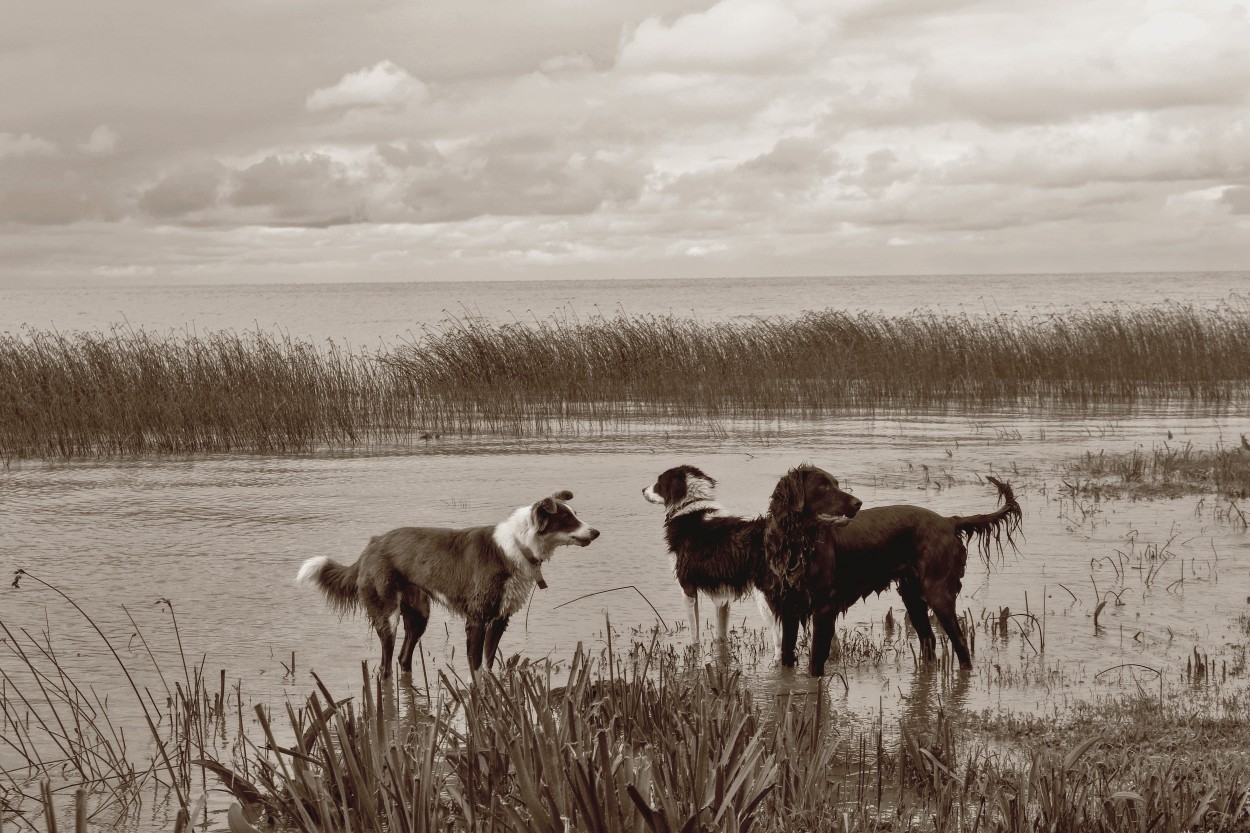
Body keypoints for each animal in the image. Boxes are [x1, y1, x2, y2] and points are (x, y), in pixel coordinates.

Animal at [297, 487, 600, 675]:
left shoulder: (500, 618)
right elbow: (475, 666)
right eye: (566, 518)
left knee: (403, 658)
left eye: (575, 515)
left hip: (418, 614)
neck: (517, 544)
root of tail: (372, 544)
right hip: (387, 613)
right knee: (385, 663)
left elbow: (488, 663)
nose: (596, 532)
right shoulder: (477, 617)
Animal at [640, 462, 865, 645]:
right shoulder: (722, 596)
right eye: (827, 485)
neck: (691, 508)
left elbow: (694, 635)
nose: (642, 489)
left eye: (658, 482)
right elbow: (721, 635)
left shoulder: (687, 587)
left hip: (769, 602)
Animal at [760, 470, 1015, 670]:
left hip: (938, 594)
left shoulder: (823, 607)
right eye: (822, 486)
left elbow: (815, 661)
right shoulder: (789, 607)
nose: (857, 503)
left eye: (836, 483)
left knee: (960, 642)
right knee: (929, 639)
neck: (797, 545)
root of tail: (948, 521)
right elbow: (787, 655)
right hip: (912, 596)